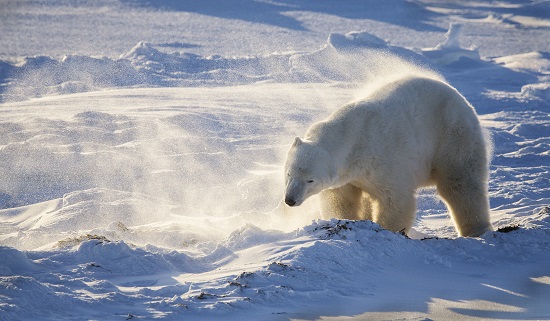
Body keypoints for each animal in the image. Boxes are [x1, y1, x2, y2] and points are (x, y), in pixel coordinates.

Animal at [286, 75, 494, 235]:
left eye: (310, 180)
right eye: (289, 174)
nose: (290, 200)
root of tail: (459, 97)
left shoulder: (383, 160)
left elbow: (394, 198)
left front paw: (387, 229)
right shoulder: (347, 176)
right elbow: (341, 198)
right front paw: (346, 219)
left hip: (452, 136)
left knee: (460, 184)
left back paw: (476, 229)